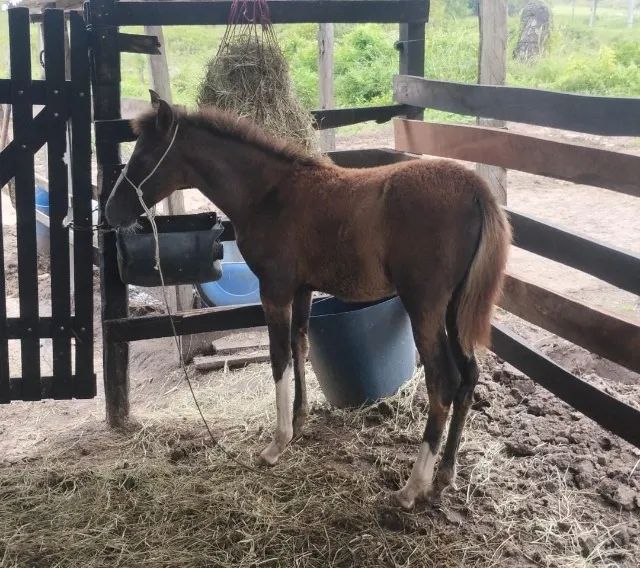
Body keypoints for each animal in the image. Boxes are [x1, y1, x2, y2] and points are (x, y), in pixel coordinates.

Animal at [105, 91, 511, 510]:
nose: (110, 211)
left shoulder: (275, 289)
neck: (269, 193)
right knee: (468, 377)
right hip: (455, 308)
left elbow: (279, 357)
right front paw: (299, 424)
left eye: (144, 156)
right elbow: (300, 347)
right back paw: (444, 476)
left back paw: (413, 486)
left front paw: (276, 444)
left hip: (425, 305)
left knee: (442, 382)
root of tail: (476, 190)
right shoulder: (302, 289)